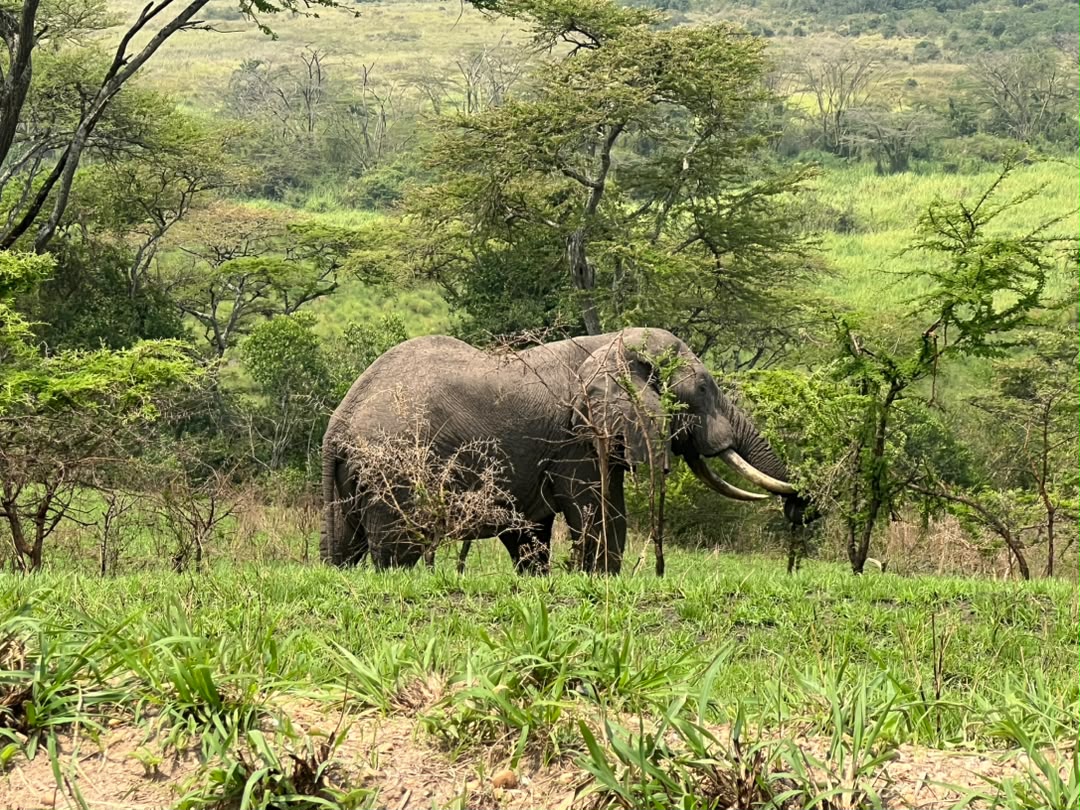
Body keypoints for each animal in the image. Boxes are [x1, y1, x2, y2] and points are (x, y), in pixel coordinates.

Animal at [321, 327, 809, 575]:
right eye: (704, 388)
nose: (799, 508)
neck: (612, 342)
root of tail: (337, 426)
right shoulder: (577, 436)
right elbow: (599, 510)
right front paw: (600, 580)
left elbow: (531, 531)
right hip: (397, 472)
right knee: (397, 550)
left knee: (344, 545)